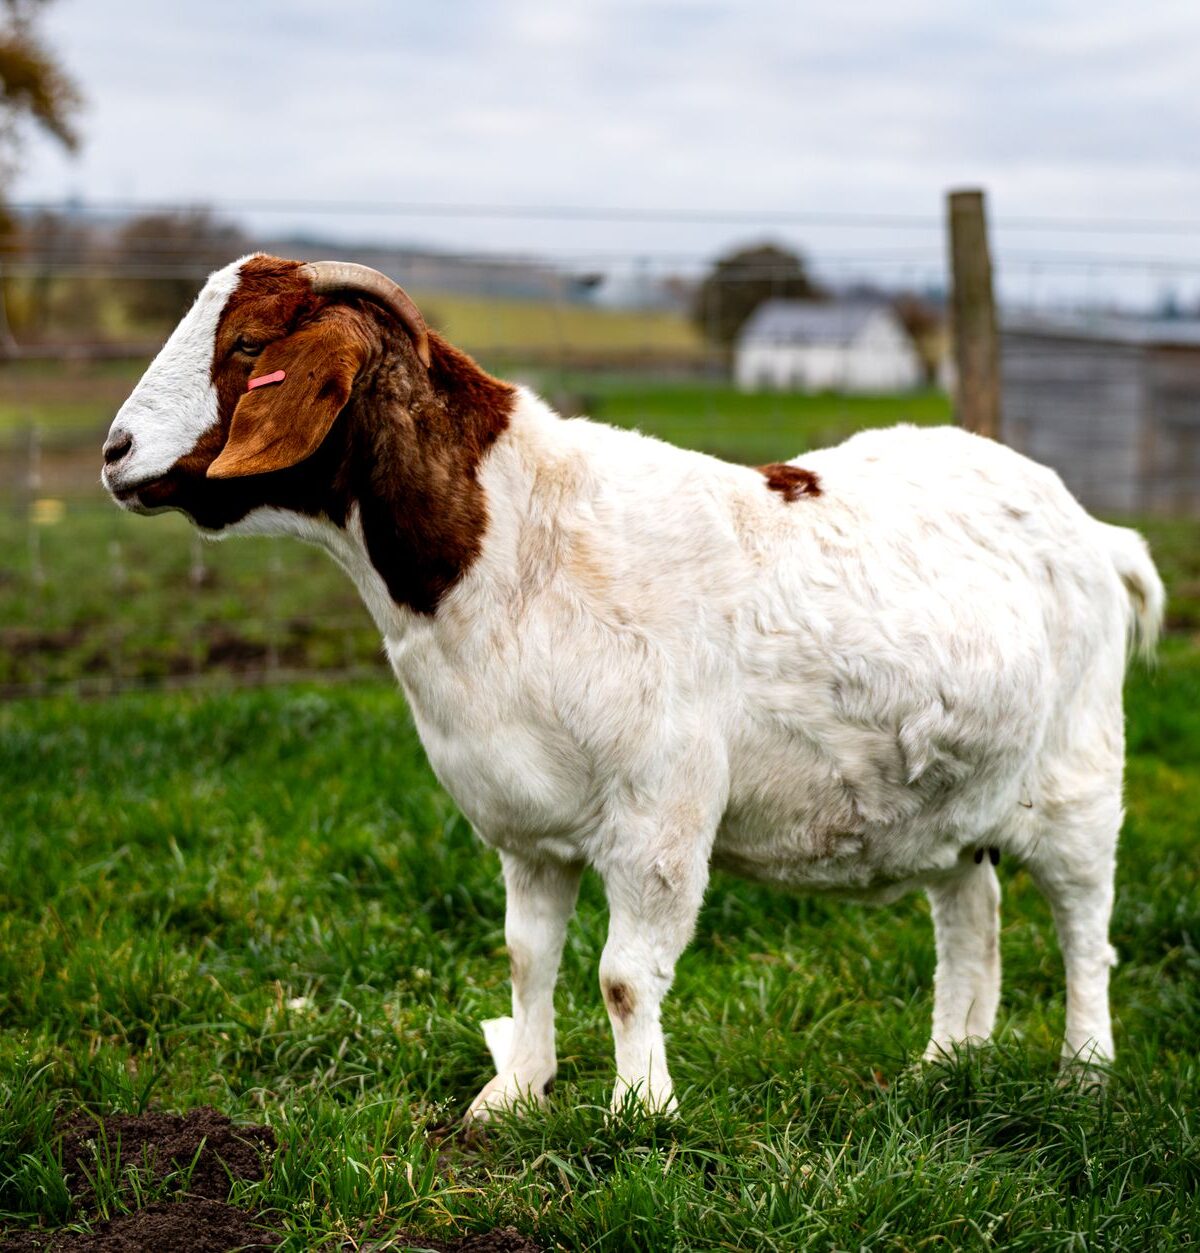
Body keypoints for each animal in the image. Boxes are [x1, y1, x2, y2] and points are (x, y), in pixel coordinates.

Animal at [102, 254, 1164, 1118]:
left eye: (248, 344)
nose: (114, 453)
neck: (512, 542)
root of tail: (1096, 532)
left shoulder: (662, 806)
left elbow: (621, 975)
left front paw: (639, 1111)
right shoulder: (526, 823)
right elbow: (527, 956)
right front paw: (513, 1095)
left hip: (1079, 773)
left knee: (1085, 926)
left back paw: (1083, 1072)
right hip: (949, 794)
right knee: (970, 913)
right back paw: (944, 1066)